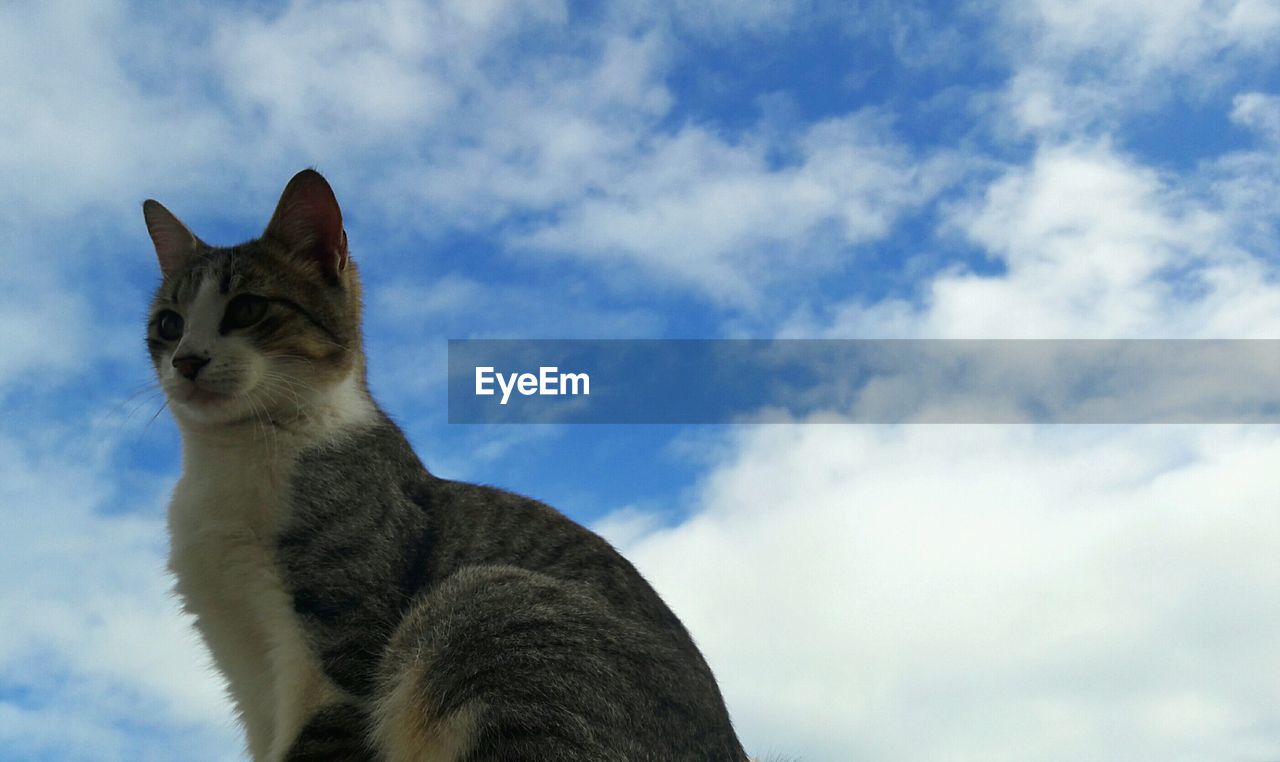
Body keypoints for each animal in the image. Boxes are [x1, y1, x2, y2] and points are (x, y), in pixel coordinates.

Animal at [144, 170, 747, 758]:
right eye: (169, 324)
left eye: (247, 308)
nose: (187, 361)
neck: (231, 458)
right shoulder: (248, 671)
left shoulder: (342, 649)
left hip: (492, 610)